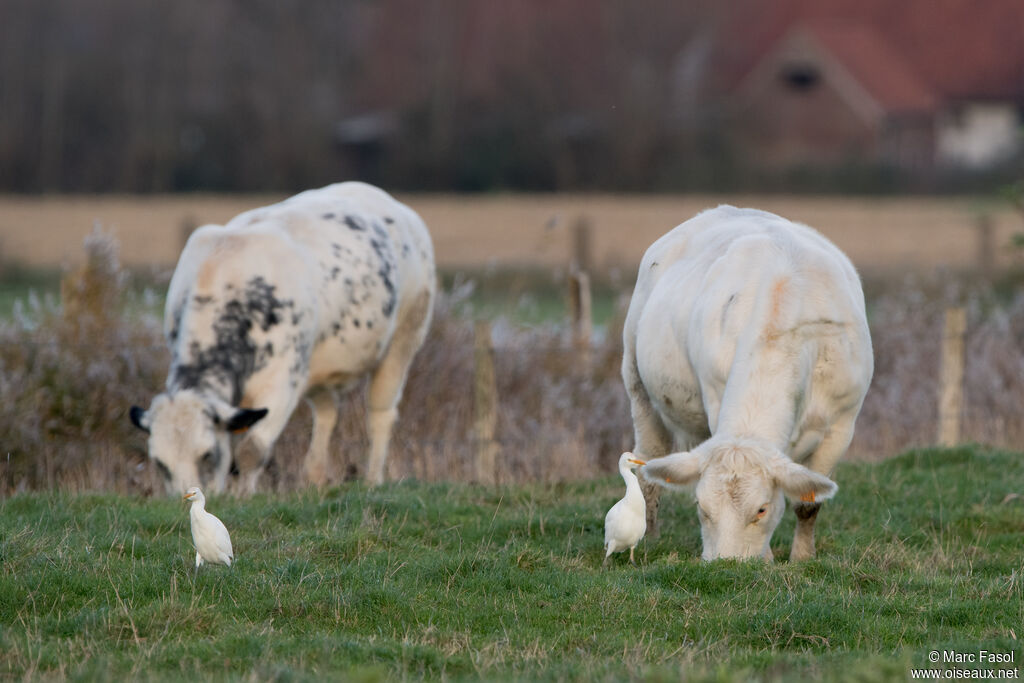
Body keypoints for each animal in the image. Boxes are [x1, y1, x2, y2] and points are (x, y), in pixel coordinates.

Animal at [130, 179, 434, 493]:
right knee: (327, 413)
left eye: (207, 454)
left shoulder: (281, 383)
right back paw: (314, 478)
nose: (187, 496)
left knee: (380, 412)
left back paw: (373, 479)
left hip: (405, 337)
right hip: (317, 364)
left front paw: (243, 495)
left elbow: (251, 450)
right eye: (160, 463)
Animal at [622, 206, 872, 561]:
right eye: (701, 507)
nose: (726, 564)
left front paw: (802, 557)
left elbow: (808, 504)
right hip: (637, 381)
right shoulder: (715, 398)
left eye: (761, 509)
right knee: (648, 463)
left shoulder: (841, 425)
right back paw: (651, 538)